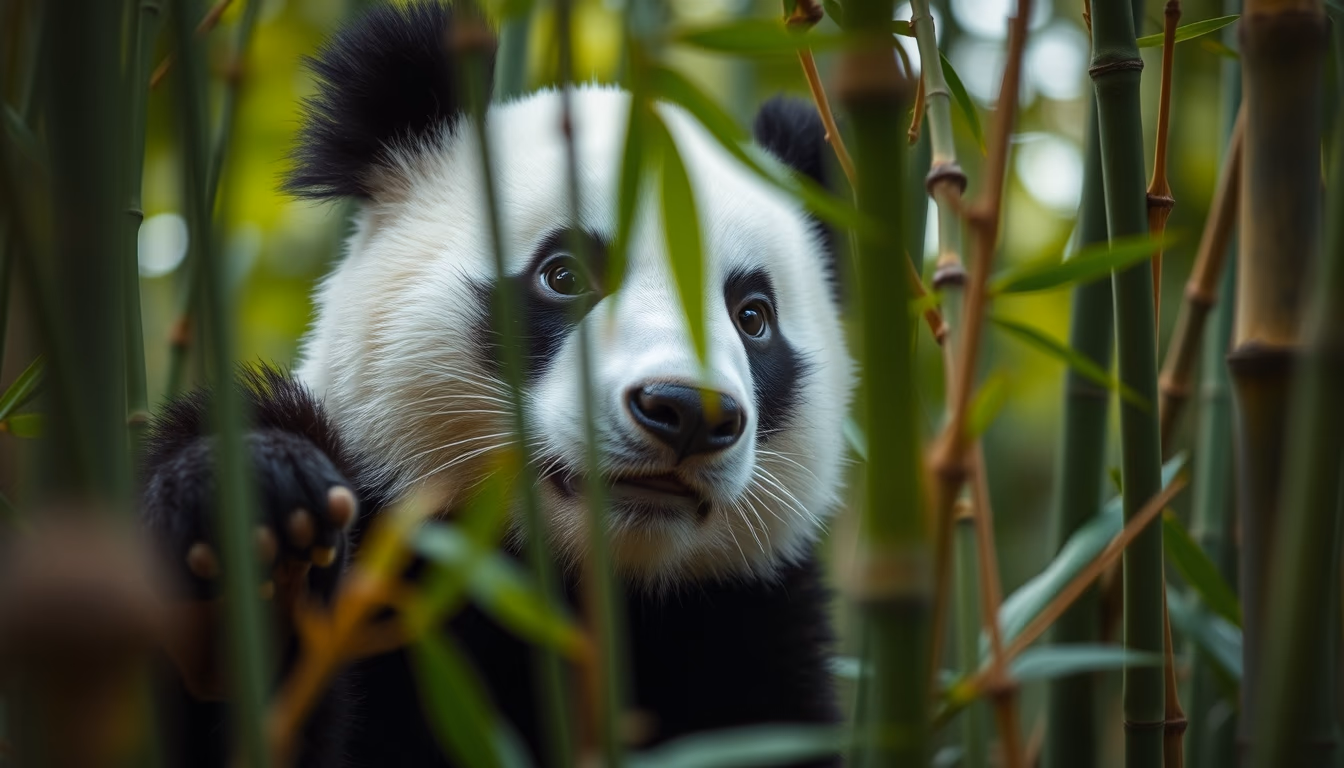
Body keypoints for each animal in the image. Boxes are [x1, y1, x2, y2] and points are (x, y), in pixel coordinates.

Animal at [140, 2, 854, 766]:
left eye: (753, 317)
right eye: (562, 275)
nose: (688, 410)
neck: (574, 597)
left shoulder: (748, 629)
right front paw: (262, 526)